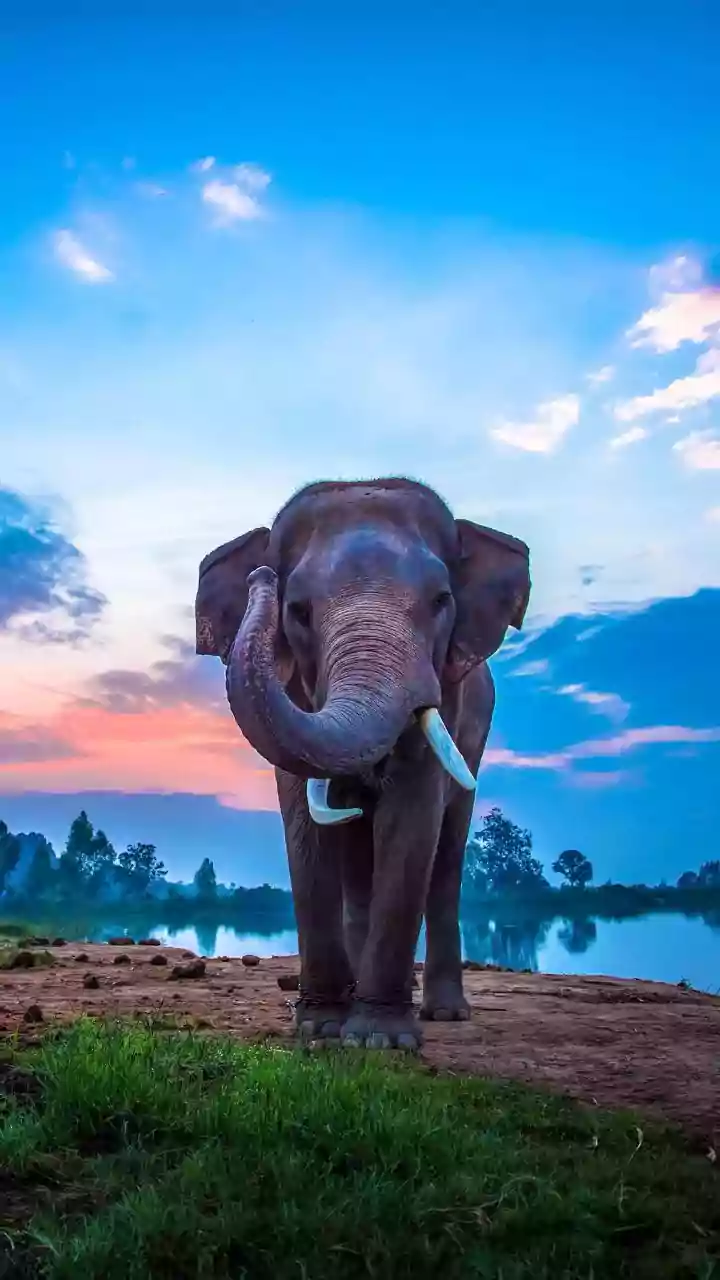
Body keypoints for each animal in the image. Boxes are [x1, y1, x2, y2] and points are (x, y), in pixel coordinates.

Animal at [195, 477, 531, 1050]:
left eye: (442, 601)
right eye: (298, 610)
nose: (262, 576)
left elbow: (414, 814)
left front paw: (379, 1040)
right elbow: (303, 820)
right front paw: (320, 1028)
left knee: (448, 853)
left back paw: (444, 1013)